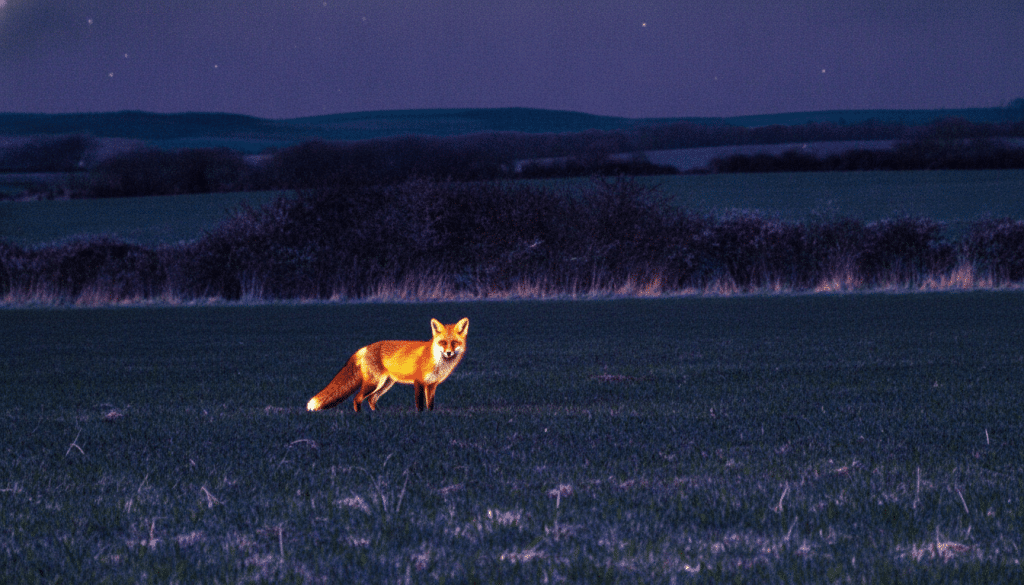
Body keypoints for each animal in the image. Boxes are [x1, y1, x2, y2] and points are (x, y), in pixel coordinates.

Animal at [306, 318, 469, 412]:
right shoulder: (419, 382)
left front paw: (430, 417)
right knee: (357, 398)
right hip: (374, 383)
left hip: (385, 384)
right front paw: (420, 418)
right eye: (442, 342)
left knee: (371, 399)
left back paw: (377, 415)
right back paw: (361, 417)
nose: (449, 353)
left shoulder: (432, 385)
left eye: (455, 343)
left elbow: (430, 406)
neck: (437, 362)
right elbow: (420, 405)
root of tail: (365, 347)